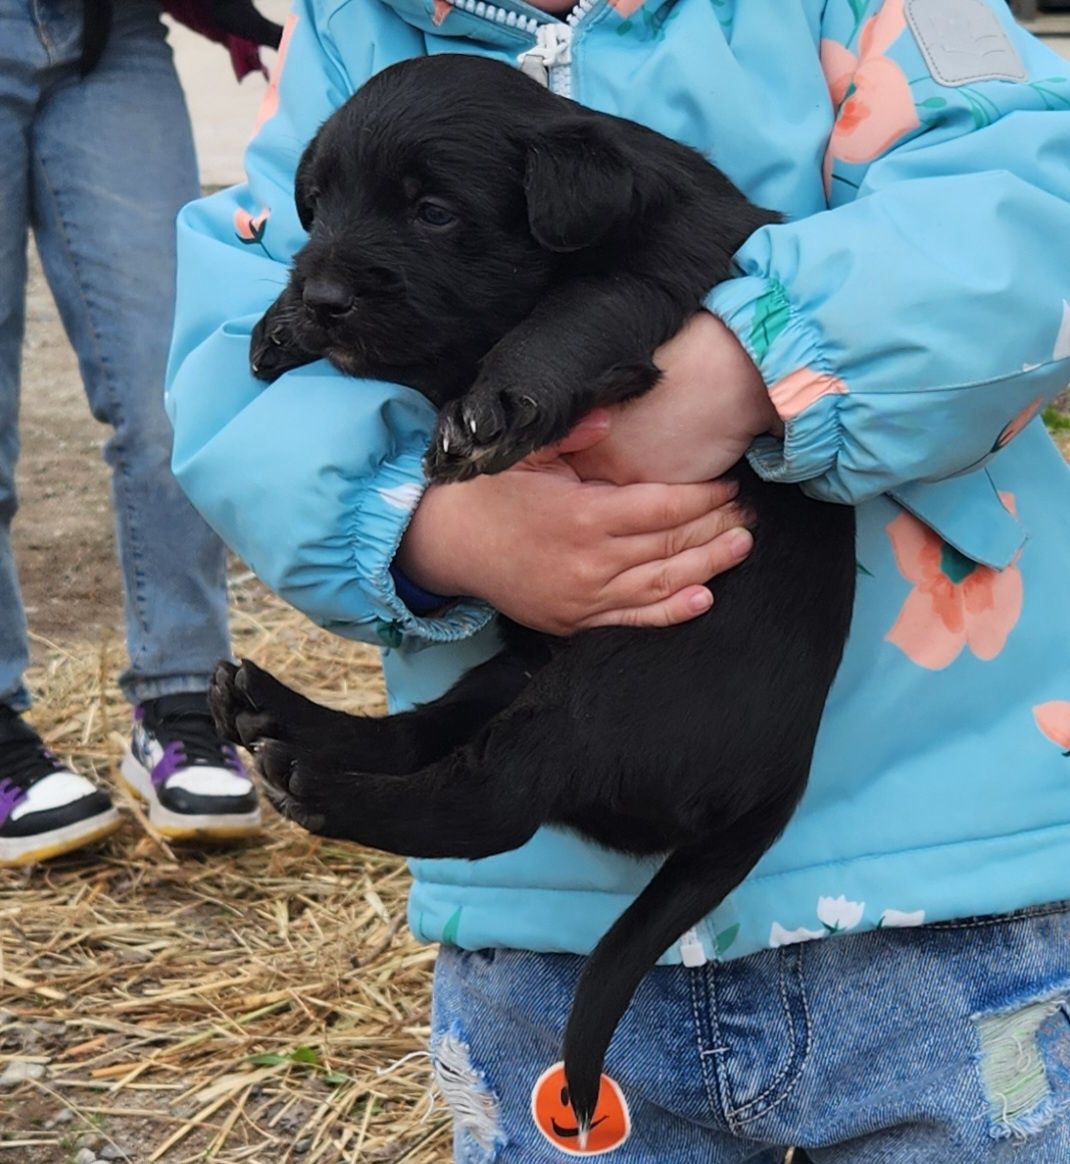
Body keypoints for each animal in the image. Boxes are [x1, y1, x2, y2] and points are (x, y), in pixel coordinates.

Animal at [213, 54, 856, 1136]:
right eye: (318, 204)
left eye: (433, 211)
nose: (326, 292)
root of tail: (785, 775)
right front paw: (281, 322)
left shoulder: (660, 269)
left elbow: (574, 311)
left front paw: (497, 399)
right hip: (521, 666)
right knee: (426, 734)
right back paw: (275, 713)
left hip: (622, 679)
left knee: (494, 798)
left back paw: (320, 782)